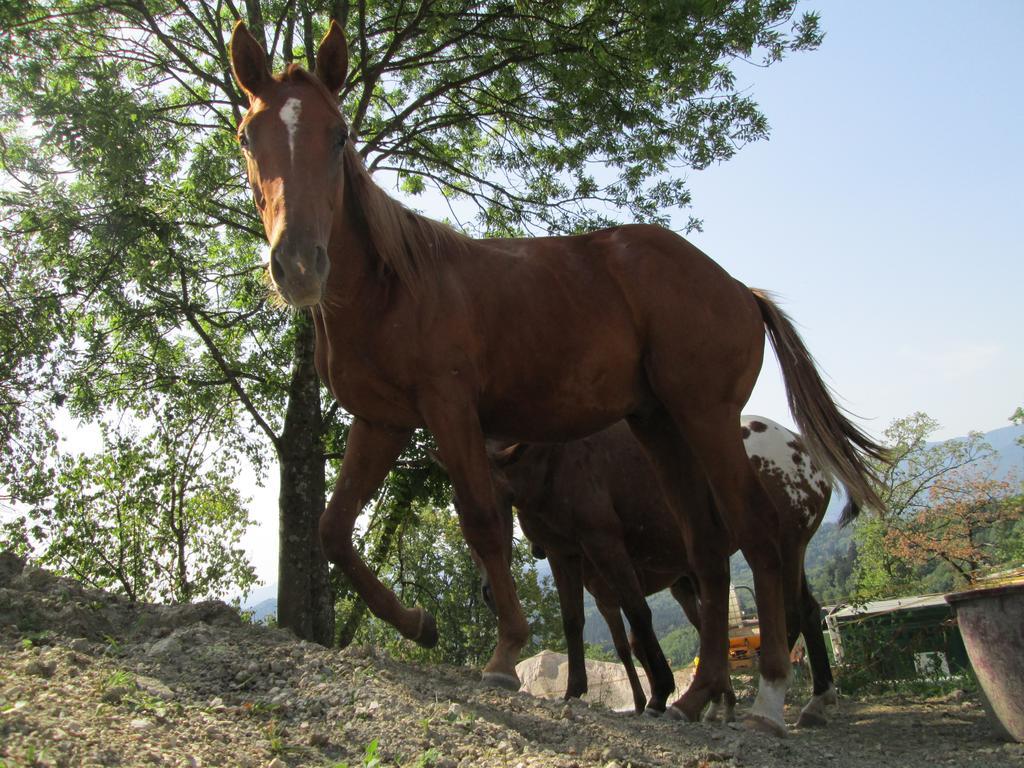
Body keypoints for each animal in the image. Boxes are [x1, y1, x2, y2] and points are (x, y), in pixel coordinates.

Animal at [479, 421, 839, 729]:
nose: (489, 594)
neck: (555, 461)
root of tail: (803, 450)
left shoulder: (605, 545)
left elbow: (639, 618)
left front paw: (658, 696)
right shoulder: (563, 555)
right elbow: (574, 623)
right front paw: (573, 691)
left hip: (785, 547)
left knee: (788, 614)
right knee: (805, 612)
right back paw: (809, 703)